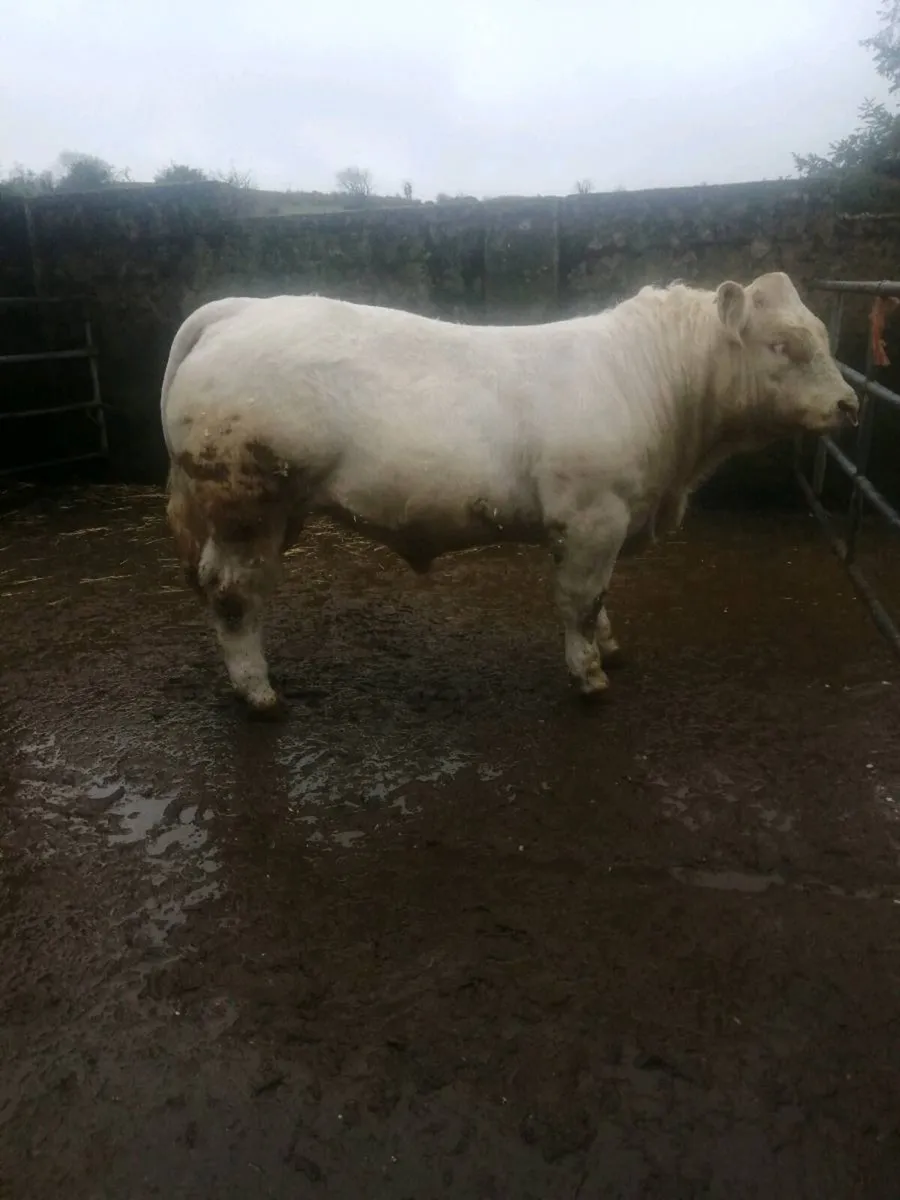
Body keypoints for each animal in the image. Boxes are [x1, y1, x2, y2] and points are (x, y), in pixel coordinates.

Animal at [161, 271, 858, 715]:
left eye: (823, 335)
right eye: (784, 345)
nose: (850, 404)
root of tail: (238, 307)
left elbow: (602, 597)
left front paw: (609, 647)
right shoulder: (592, 515)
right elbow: (580, 600)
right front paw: (589, 674)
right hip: (246, 506)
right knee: (233, 594)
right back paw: (259, 693)